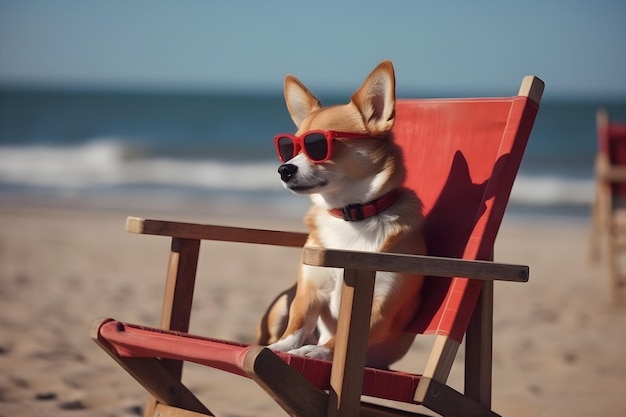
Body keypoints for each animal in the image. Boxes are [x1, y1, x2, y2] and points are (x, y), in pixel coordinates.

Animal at [256, 59, 426, 368]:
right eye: (289, 148)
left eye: (317, 146)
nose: (283, 169)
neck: (351, 215)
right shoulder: (309, 292)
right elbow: (297, 326)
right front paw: (280, 347)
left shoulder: (379, 308)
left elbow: (344, 339)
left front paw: (318, 351)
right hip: (279, 307)